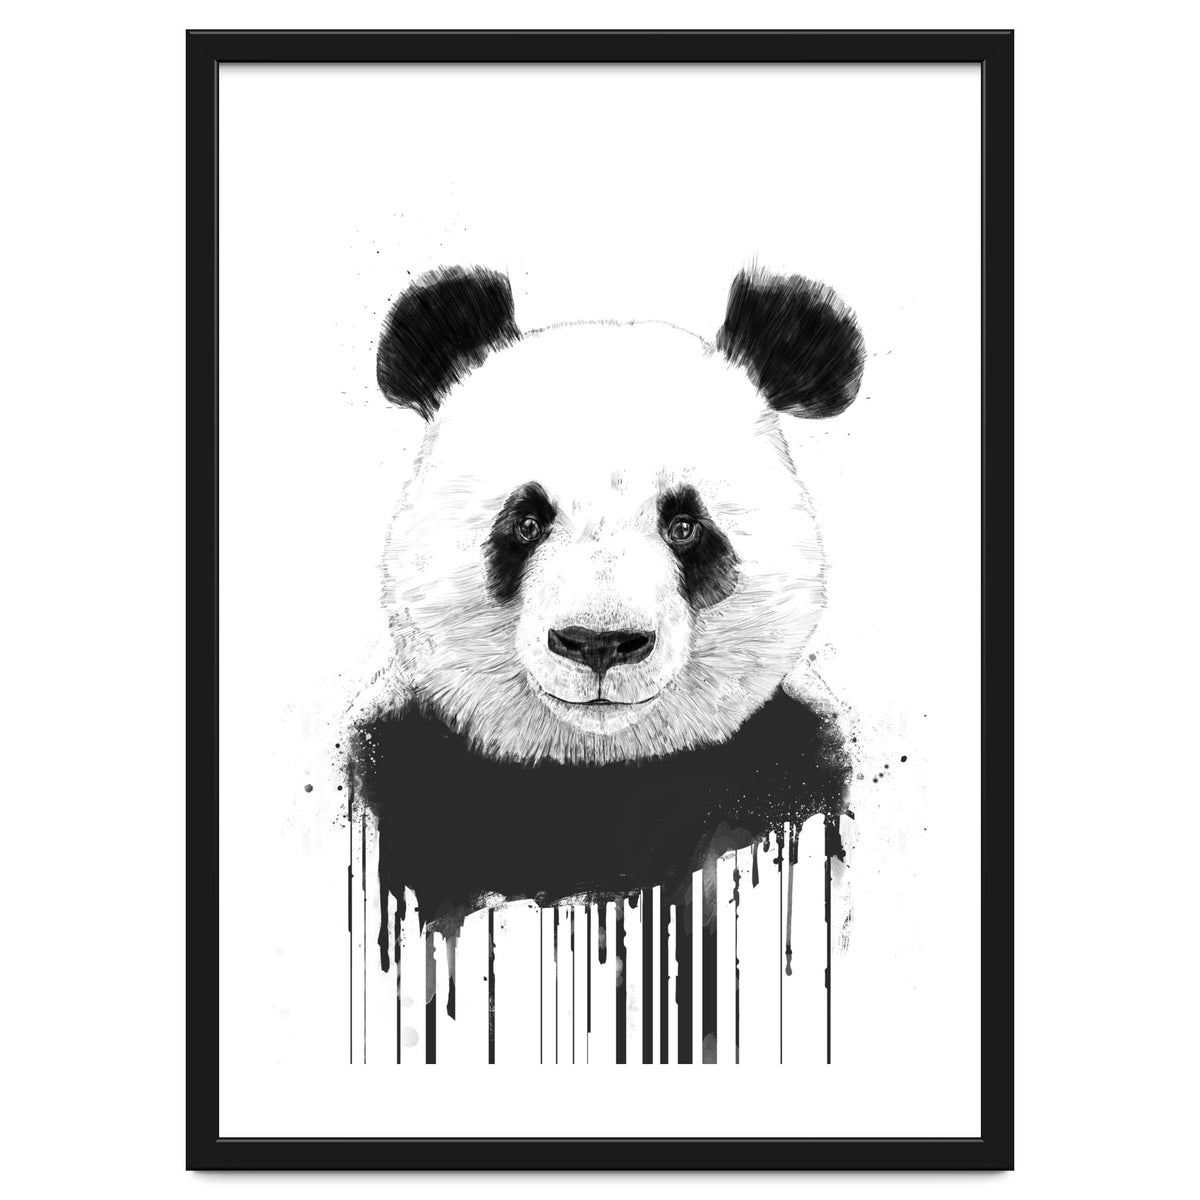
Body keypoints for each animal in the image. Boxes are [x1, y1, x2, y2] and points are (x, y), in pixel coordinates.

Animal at [348, 265, 865, 939]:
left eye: (685, 526)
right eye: (526, 522)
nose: (599, 643)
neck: (598, 772)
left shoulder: (789, 761)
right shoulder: (405, 763)